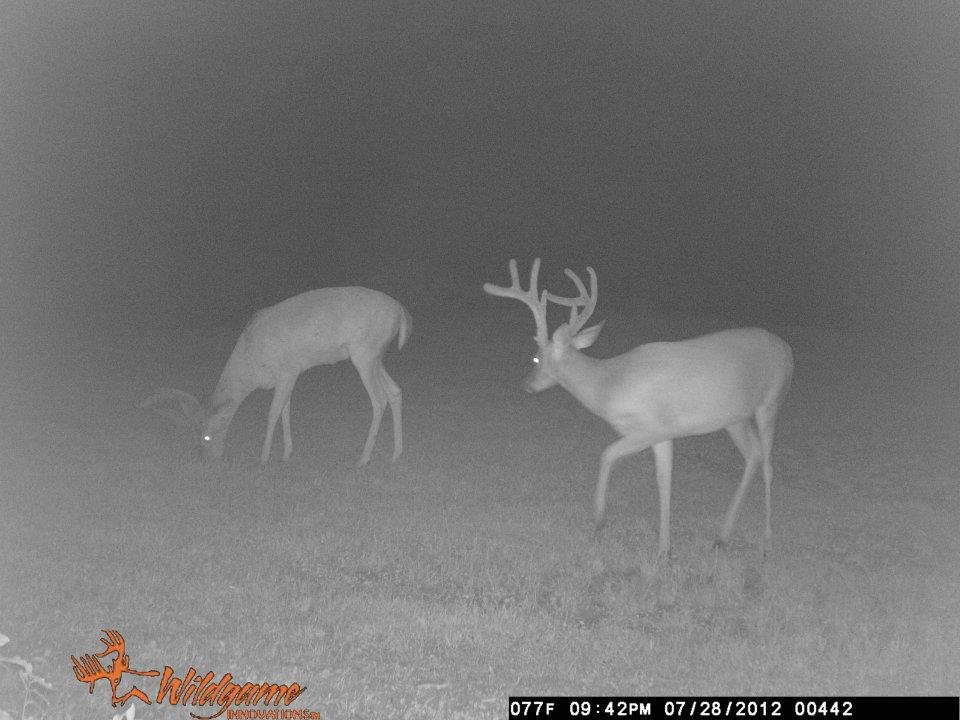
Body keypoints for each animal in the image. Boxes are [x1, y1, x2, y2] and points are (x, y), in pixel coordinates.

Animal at [140, 287, 411, 466]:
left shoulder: (288, 370)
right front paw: (286, 453)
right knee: (395, 391)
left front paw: (263, 458)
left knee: (379, 399)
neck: (252, 364)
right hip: (376, 356)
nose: (207, 460)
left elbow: (272, 413)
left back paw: (364, 458)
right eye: (194, 435)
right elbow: (285, 410)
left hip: (364, 352)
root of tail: (401, 312)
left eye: (206, 435)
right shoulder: (288, 376)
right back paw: (396, 453)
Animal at [483, 259, 794, 559]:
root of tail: (787, 349)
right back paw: (721, 538)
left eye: (535, 358)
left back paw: (766, 543)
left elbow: (607, 455)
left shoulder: (653, 428)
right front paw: (665, 550)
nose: (526, 385)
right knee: (753, 455)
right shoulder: (664, 435)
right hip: (734, 418)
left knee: (768, 465)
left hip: (771, 400)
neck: (609, 384)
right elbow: (664, 481)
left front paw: (598, 523)